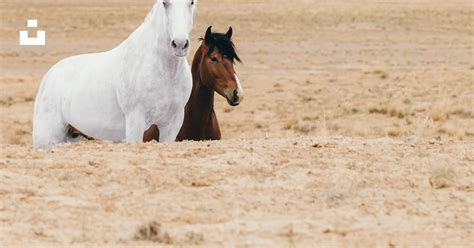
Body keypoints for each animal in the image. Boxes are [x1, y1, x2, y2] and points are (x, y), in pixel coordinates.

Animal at [32, 0, 196, 149]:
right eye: (165, 3)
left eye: (192, 2)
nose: (180, 44)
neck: (164, 71)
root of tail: (48, 76)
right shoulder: (135, 119)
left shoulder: (172, 123)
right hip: (47, 137)